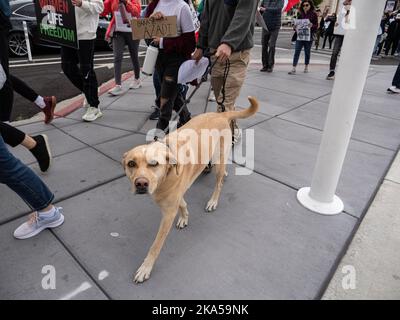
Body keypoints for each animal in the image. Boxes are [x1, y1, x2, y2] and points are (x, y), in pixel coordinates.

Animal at [122, 95, 260, 282]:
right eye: (131, 164)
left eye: (154, 164)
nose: (141, 184)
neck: (167, 173)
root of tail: (221, 114)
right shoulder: (176, 196)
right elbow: (183, 204)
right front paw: (184, 217)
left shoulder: (167, 214)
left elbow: (155, 245)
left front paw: (146, 267)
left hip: (218, 159)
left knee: (218, 184)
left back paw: (213, 200)